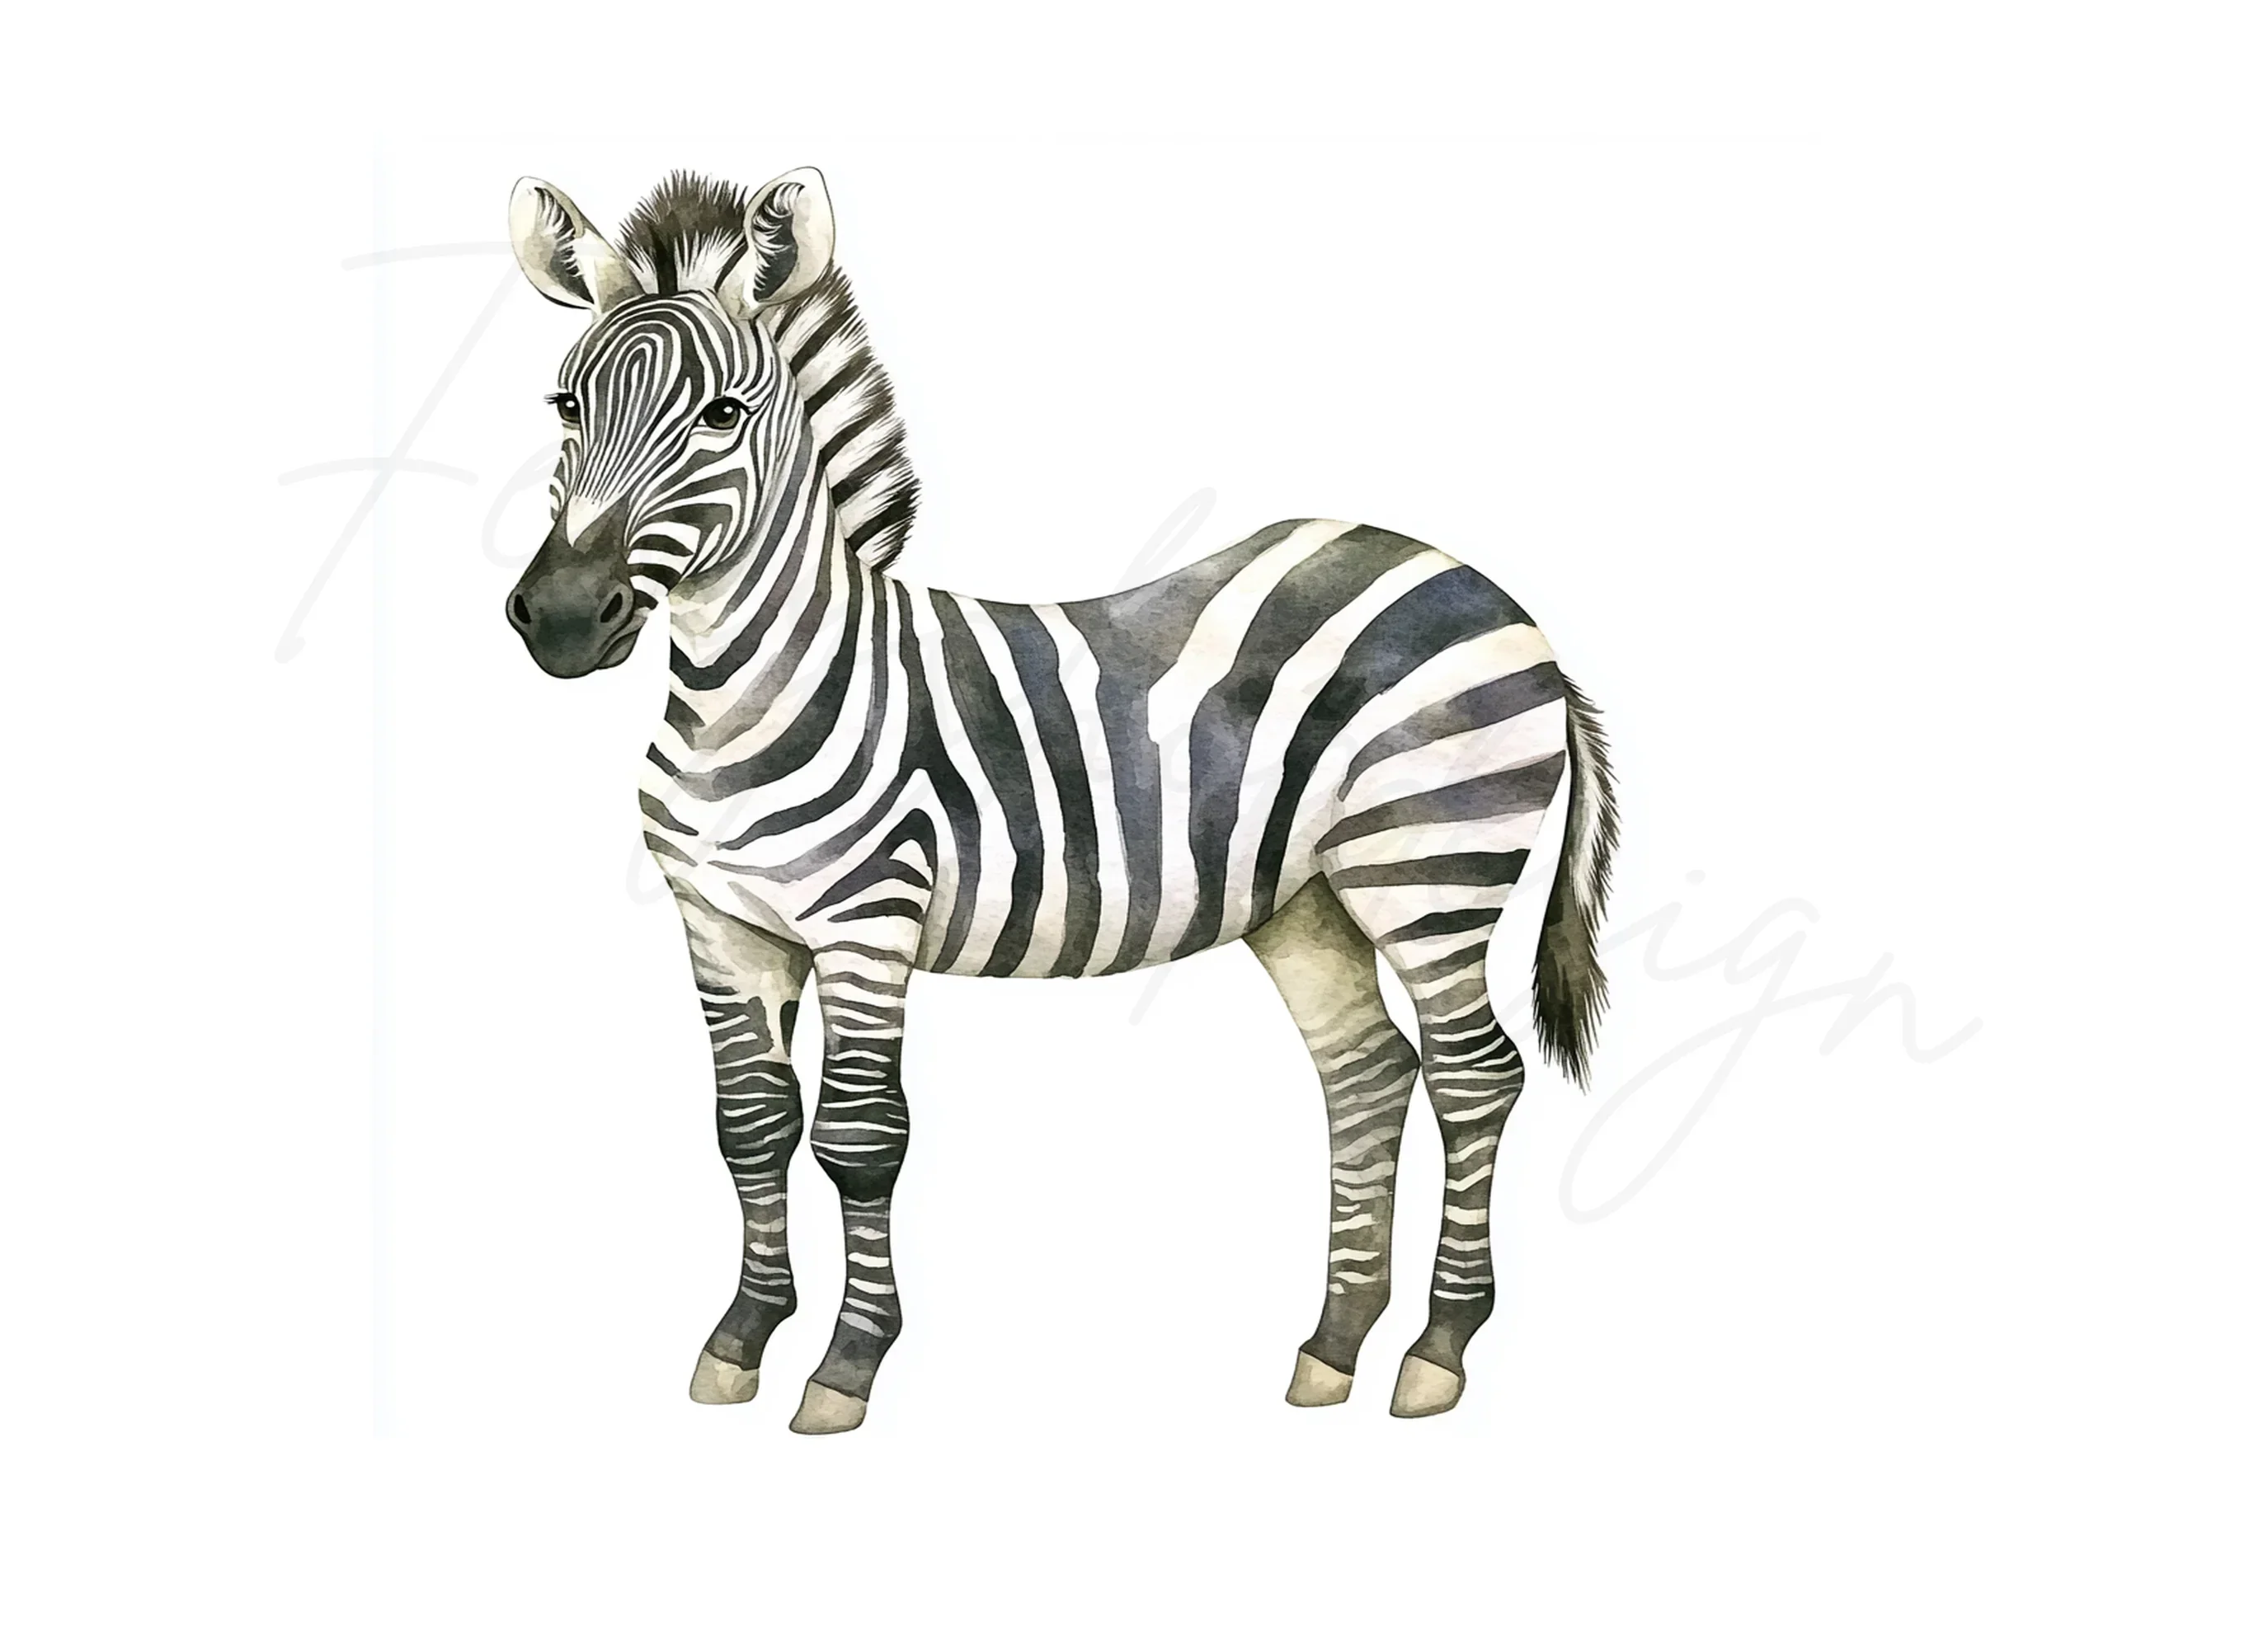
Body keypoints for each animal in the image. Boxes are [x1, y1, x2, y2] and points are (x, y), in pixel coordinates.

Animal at [502, 167, 1619, 1433]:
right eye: (565, 407)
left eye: (723, 416)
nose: (560, 619)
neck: (741, 697)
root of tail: (1490, 591)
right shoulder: (721, 929)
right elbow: (748, 1128)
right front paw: (739, 1339)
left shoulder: (866, 918)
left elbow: (860, 1139)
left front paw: (846, 1364)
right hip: (1308, 900)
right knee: (1368, 1075)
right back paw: (1334, 1346)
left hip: (1429, 863)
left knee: (1474, 1077)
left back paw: (1436, 1348)